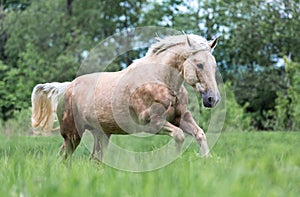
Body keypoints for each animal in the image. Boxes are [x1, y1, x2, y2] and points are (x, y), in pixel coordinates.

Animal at [33, 33, 220, 160]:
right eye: (199, 64)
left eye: (214, 65)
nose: (213, 99)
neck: (160, 80)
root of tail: (67, 87)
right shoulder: (152, 123)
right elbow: (180, 135)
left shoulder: (181, 117)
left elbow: (200, 134)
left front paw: (206, 159)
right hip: (72, 134)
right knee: (64, 156)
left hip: (101, 134)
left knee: (92, 159)